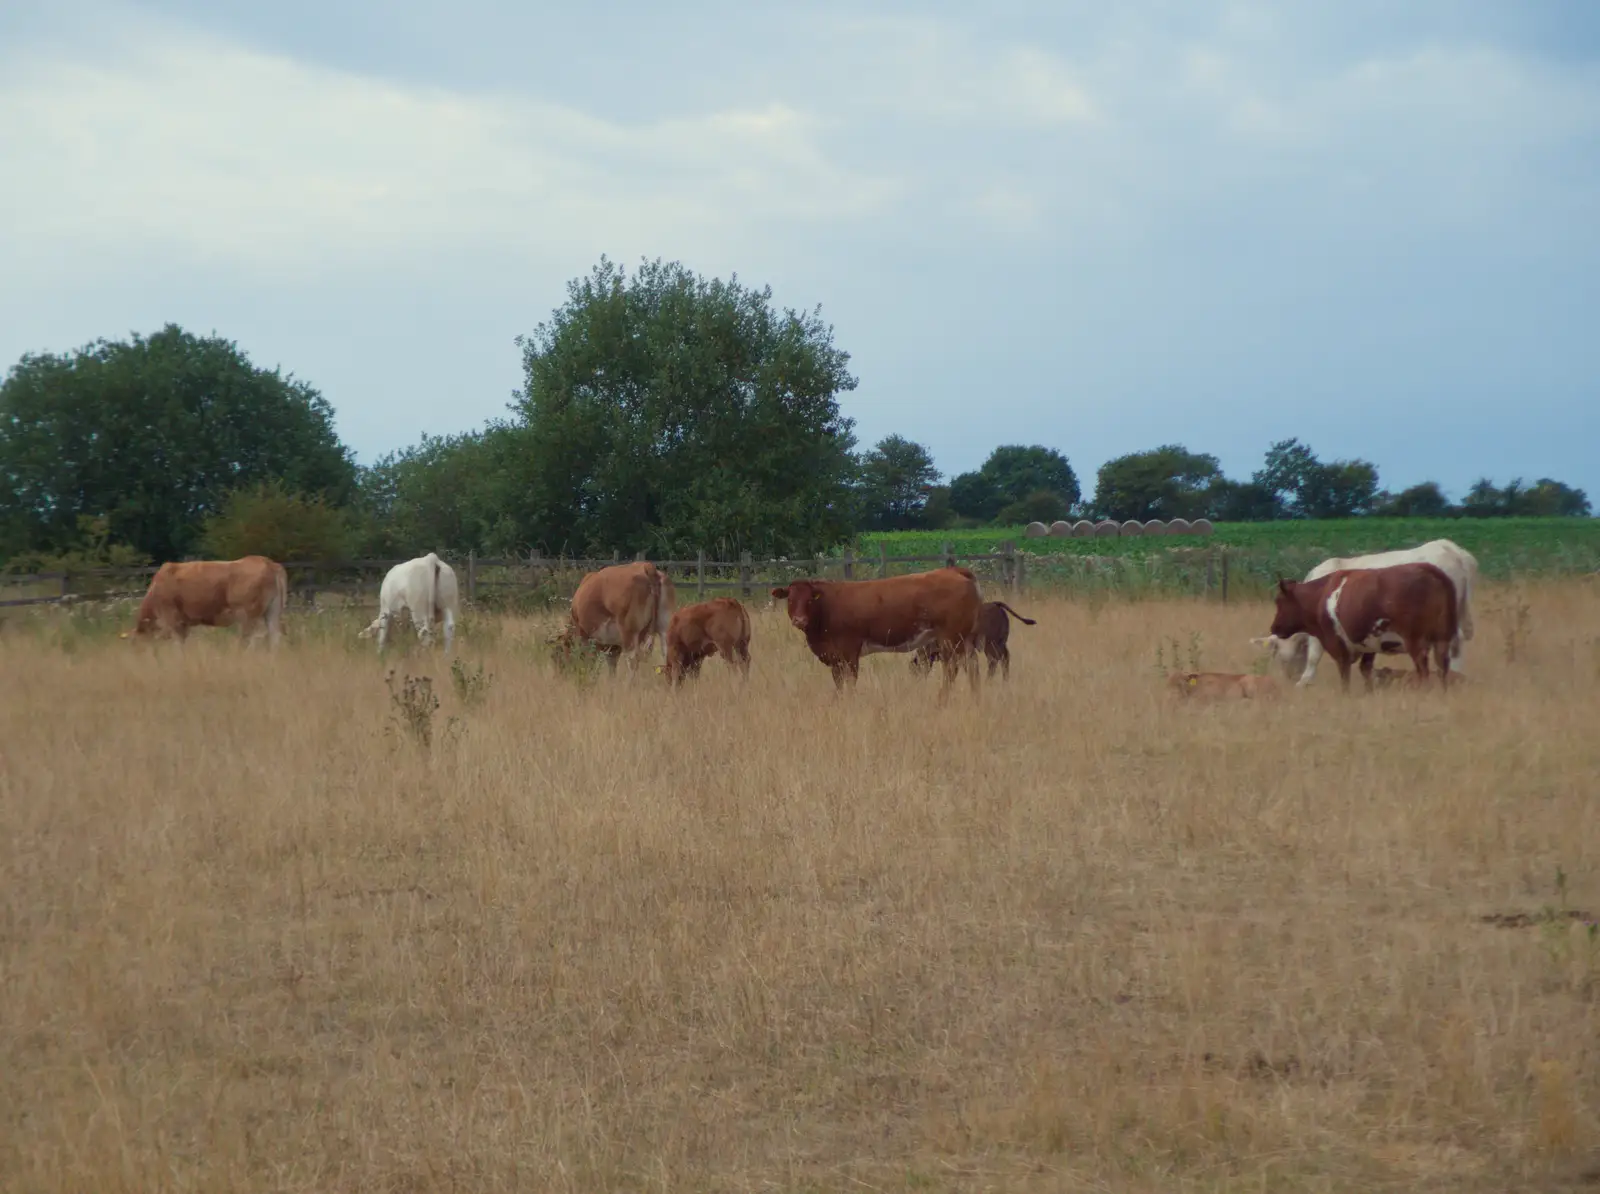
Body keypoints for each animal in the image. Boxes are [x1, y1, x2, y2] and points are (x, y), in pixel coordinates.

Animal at [121, 555, 288, 647]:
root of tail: (268, 562)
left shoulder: (172, 620)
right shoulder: (183, 624)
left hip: (247, 615)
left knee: (249, 641)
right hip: (272, 612)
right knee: (274, 638)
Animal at [770, 566, 983, 701]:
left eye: (809, 600)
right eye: (790, 599)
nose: (799, 620)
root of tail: (955, 571)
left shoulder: (849, 651)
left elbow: (850, 680)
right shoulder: (834, 657)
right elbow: (838, 682)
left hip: (950, 638)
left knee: (952, 668)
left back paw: (942, 698)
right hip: (964, 639)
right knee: (972, 666)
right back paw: (975, 696)